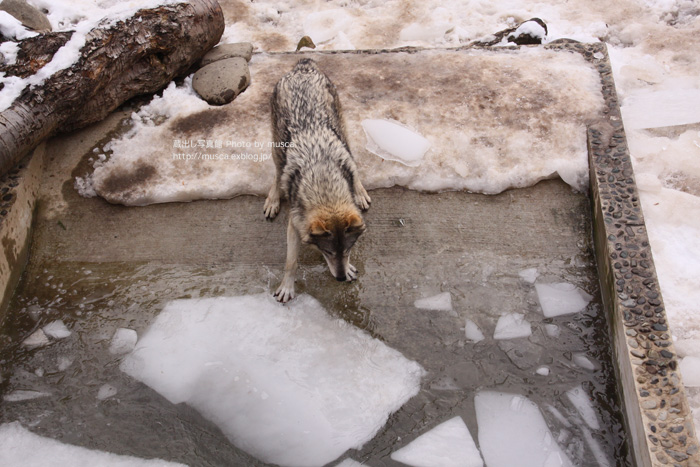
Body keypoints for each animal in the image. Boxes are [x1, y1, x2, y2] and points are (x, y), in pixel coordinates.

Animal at [264, 58, 372, 304]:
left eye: (348, 250)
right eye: (329, 252)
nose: (340, 279)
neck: (324, 183)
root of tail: (303, 67)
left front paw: (348, 268)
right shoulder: (295, 225)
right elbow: (291, 262)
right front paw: (287, 288)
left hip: (342, 129)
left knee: (353, 164)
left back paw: (360, 192)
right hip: (276, 144)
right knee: (277, 172)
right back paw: (273, 199)